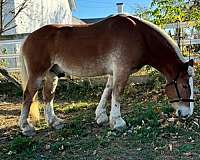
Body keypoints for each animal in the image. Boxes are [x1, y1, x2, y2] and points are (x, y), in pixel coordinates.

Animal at [19, 14, 195, 136]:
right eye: (184, 85)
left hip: (52, 74)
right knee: (28, 96)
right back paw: (26, 127)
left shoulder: (113, 73)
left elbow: (107, 91)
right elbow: (117, 93)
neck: (139, 35)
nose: (187, 114)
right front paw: (117, 121)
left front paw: (101, 116)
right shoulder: (122, 70)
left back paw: (54, 122)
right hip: (37, 74)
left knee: (48, 96)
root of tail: (28, 38)